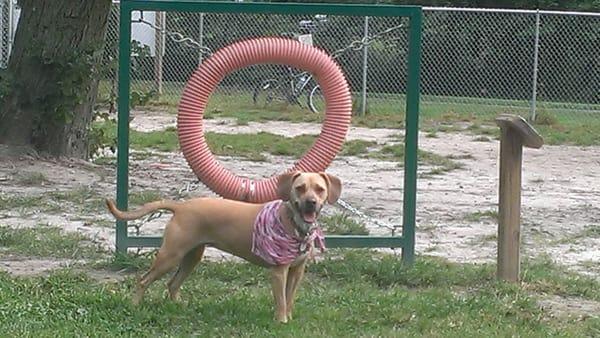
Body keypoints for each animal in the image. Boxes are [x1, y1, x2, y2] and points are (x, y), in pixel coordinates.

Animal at [105, 172, 340, 322]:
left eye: (320, 189)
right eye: (299, 188)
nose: (311, 202)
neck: (294, 224)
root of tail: (181, 206)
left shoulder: (297, 271)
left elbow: (289, 299)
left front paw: (289, 318)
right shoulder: (278, 272)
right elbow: (281, 300)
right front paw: (281, 321)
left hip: (192, 257)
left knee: (172, 284)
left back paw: (177, 305)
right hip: (170, 256)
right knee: (143, 280)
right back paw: (135, 306)